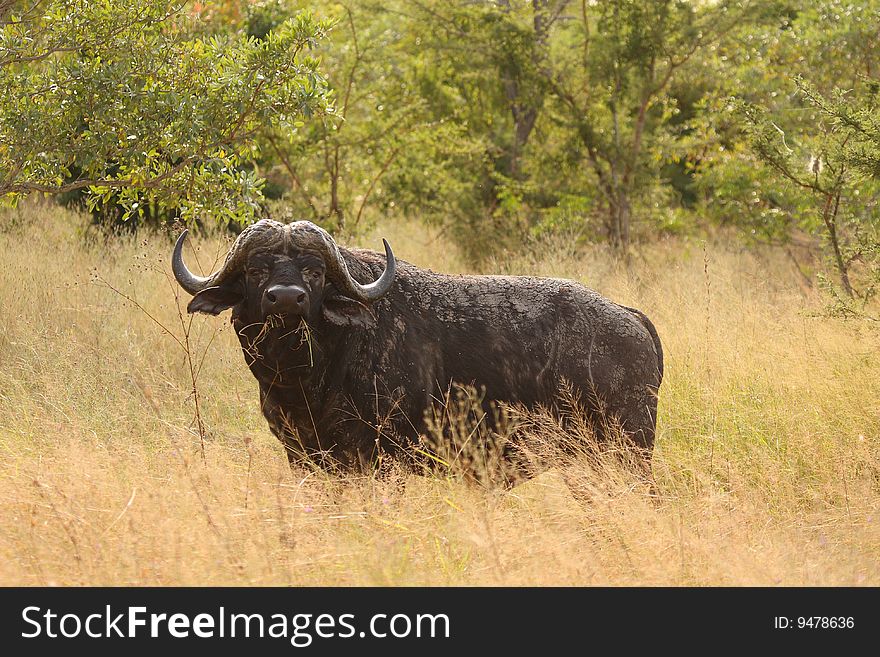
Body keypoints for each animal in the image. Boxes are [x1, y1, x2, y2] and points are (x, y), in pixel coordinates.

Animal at [172, 218, 660, 480]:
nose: (287, 298)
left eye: (314, 271)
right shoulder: (303, 456)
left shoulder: (380, 457)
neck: (306, 379)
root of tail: (629, 317)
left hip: (627, 453)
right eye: (256, 270)